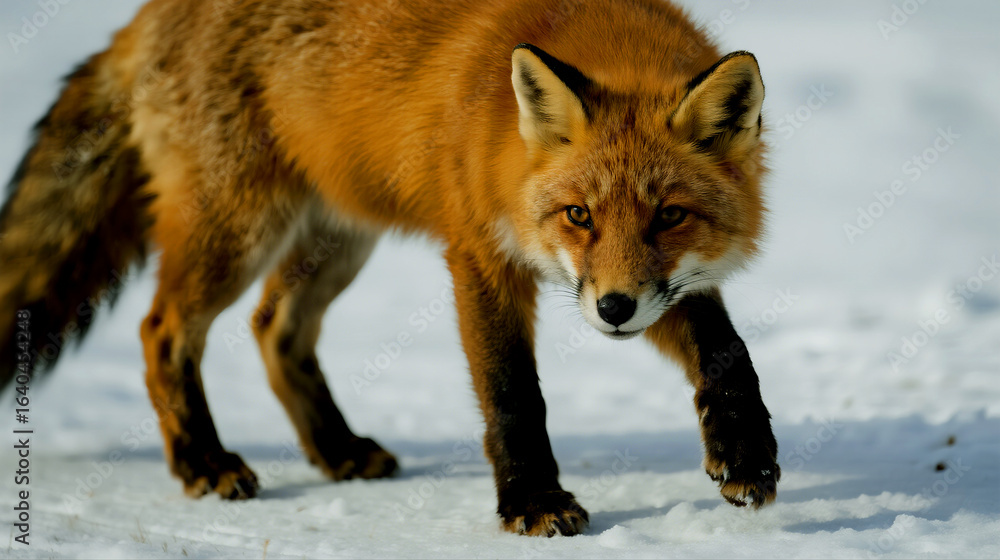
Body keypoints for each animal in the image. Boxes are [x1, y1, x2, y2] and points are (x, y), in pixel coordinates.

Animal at [0, 0, 779, 537]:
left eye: (669, 216)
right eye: (578, 215)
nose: (615, 314)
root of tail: (144, 17)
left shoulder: (655, 287)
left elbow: (727, 351)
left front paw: (746, 454)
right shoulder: (480, 254)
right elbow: (511, 393)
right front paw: (531, 501)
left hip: (337, 238)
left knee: (273, 327)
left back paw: (336, 449)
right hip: (238, 231)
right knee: (161, 330)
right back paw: (203, 461)